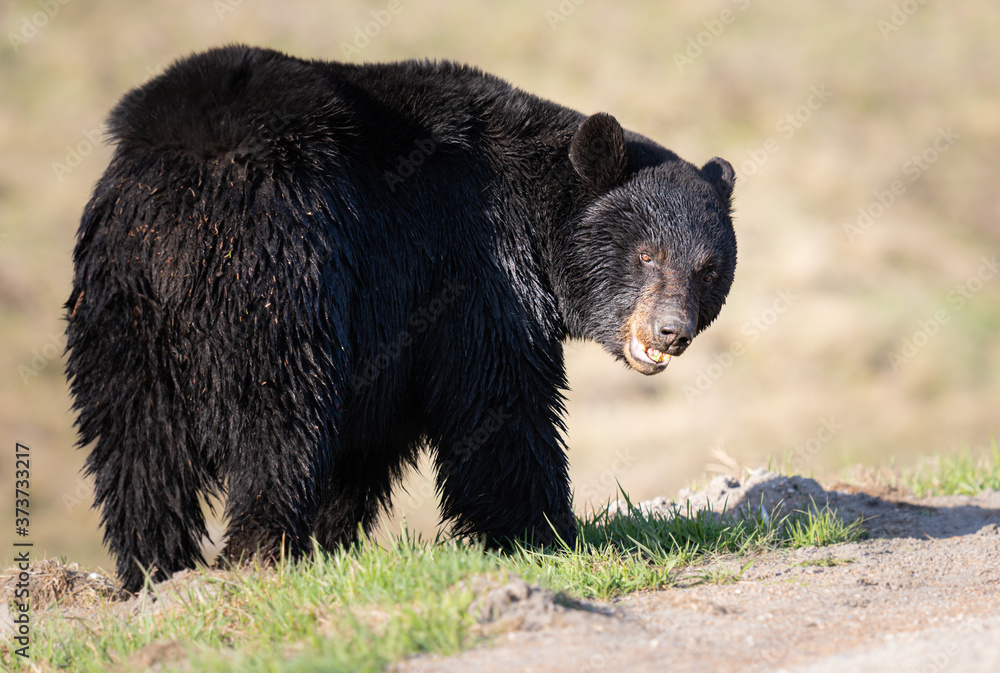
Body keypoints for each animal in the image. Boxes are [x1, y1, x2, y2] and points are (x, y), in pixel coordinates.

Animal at [65, 45, 737, 593]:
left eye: (708, 268)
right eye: (647, 254)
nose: (672, 332)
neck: (533, 216)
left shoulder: (393, 329)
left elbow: (370, 437)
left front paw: (333, 542)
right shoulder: (470, 269)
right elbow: (499, 402)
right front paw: (550, 535)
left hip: (121, 302)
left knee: (138, 445)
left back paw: (153, 568)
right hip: (280, 276)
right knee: (276, 420)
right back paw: (258, 551)